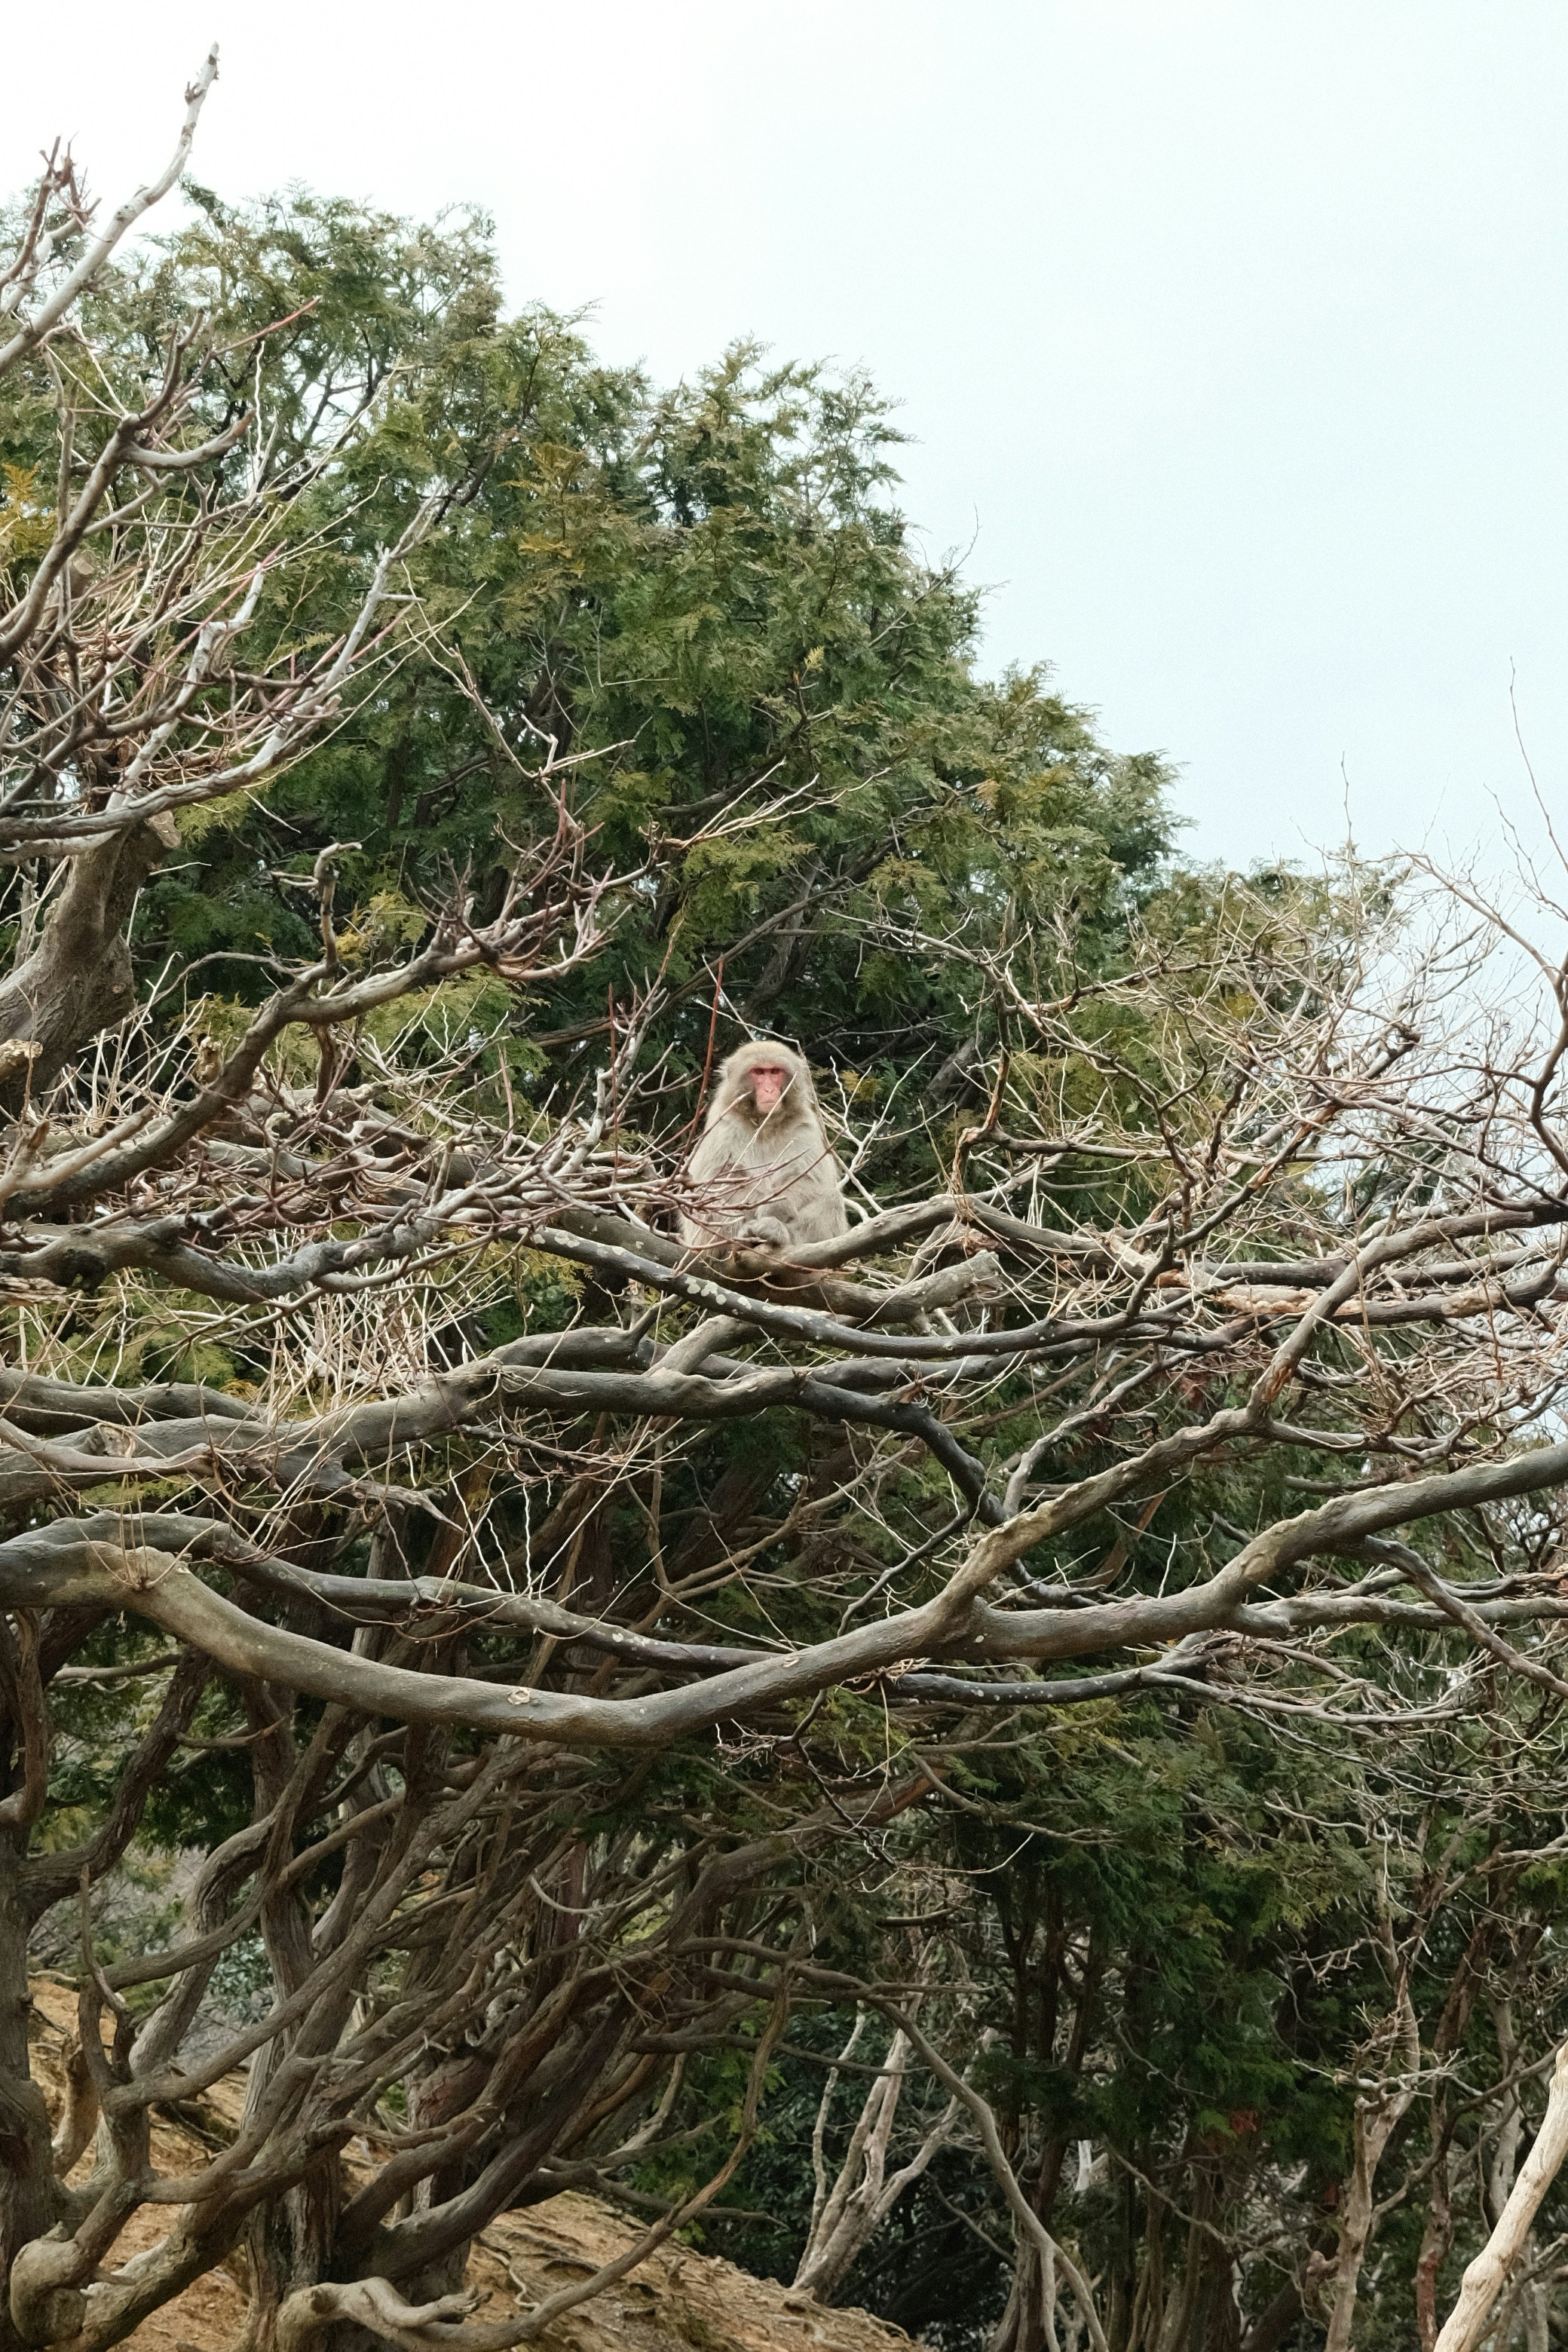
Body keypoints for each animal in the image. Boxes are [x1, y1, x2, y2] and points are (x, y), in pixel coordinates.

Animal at [679, 1041, 848, 1254]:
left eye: (775, 1071)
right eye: (759, 1072)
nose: (769, 1089)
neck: (764, 1123)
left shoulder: (804, 1126)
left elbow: (809, 1178)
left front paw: (776, 1207)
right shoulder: (724, 1125)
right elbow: (717, 1182)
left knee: (831, 1199)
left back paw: (779, 1234)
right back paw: (740, 1239)